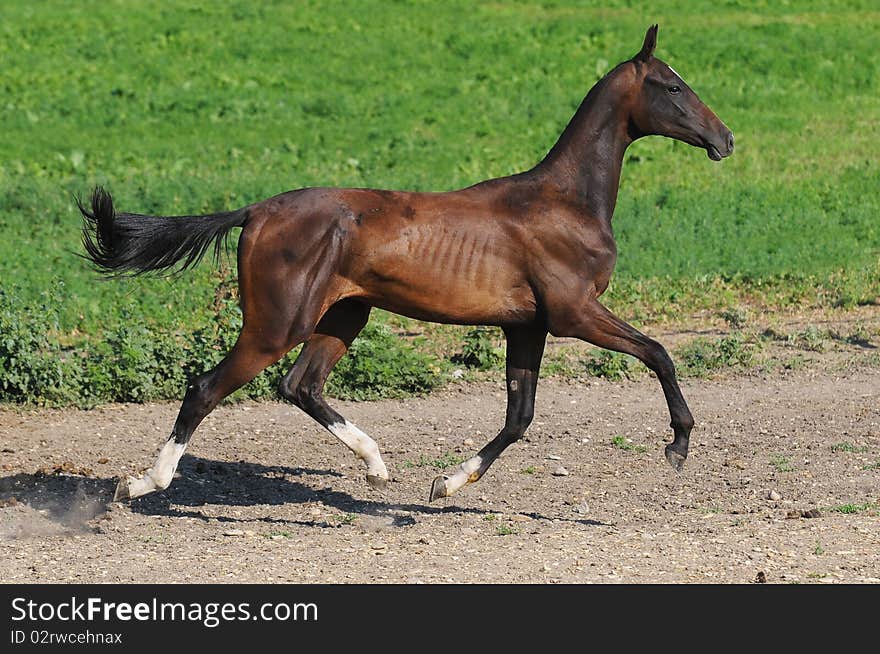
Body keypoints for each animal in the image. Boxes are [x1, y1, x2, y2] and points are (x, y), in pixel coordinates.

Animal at [79, 25, 732, 504]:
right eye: (672, 86)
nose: (725, 140)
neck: (565, 202)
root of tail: (256, 210)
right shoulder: (575, 313)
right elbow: (659, 352)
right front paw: (678, 446)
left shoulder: (528, 324)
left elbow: (519, 415)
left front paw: (447, 482)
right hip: (277, 324)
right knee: (208, 388)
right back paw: (142, 483)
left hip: (343, 316)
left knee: (300, 385)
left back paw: (376, 466)